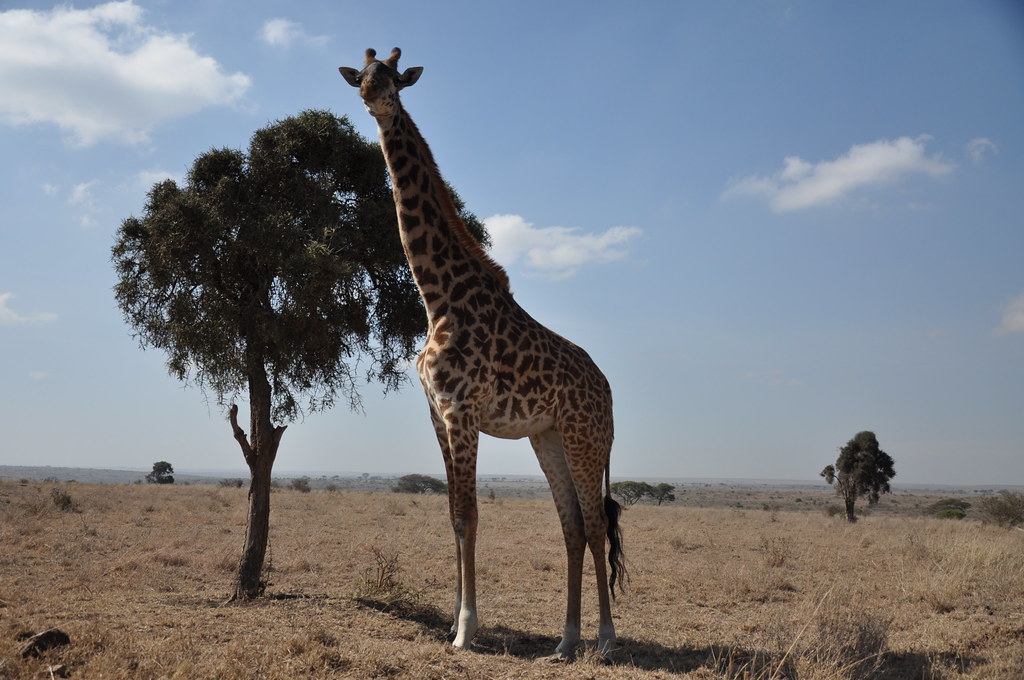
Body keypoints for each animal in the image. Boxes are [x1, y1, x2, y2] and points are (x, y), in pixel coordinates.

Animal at [342, 46, 622, 659]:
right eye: (362, 74)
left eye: (395, 78)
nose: (374, 96)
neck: (435, 295)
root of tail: (610, 393)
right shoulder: (436, 414)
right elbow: (452, 517)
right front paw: (453, 620)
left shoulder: (462, 410)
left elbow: (470, 517)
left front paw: (466, 630)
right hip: (549, 438)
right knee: (571, 526)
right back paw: (565, 641)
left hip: (585, 438)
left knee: (594, 525)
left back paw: (607, 639)